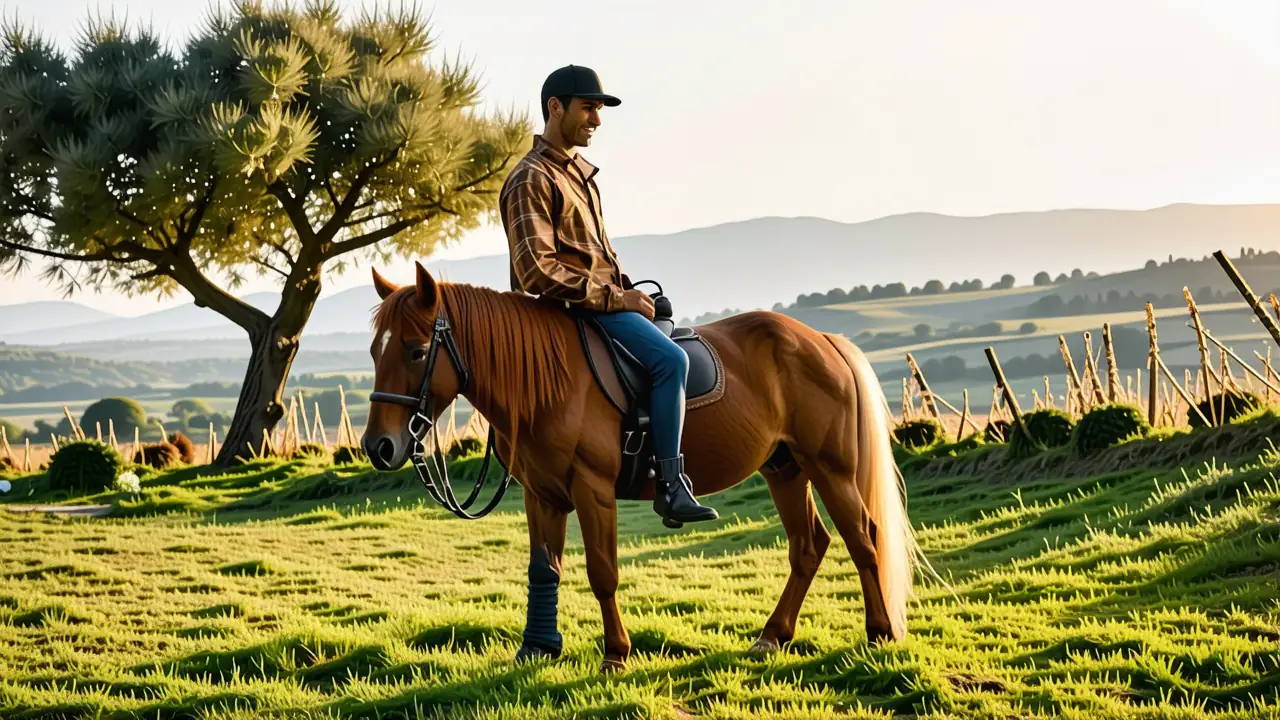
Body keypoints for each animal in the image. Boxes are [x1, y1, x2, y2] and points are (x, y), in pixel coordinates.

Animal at [362, 262, 923, 672]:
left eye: (416, 351)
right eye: (374, 351)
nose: (379, 446)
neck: (548, 382)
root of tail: (823, 341)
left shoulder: (592, 490)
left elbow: (602, 572)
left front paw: (615, 653)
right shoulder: (543, 495)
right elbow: (545, 568)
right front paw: (537, 648)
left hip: (830, 468)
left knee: (862, 538)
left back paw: (879, 632)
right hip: (785, 469)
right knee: (809, 546)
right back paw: (773, 636)